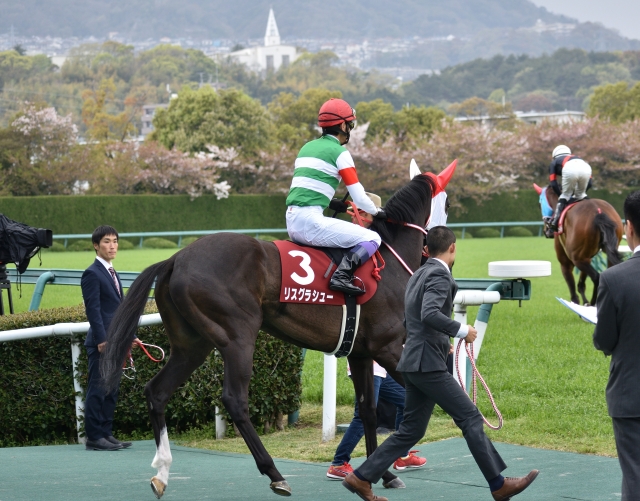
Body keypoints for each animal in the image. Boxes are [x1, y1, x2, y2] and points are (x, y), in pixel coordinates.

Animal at [102, 163, 456, 496]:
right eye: (449, 203)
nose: (446, 255)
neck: (389, 262)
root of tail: (174, 259)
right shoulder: (390, 348)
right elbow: (443, 397)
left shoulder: (362, 353)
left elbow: (368, 410)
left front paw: (382, 474)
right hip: (238, 337)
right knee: (234, 399)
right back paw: (275, 474)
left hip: (192, 345)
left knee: (157, 391)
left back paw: (162, 473)